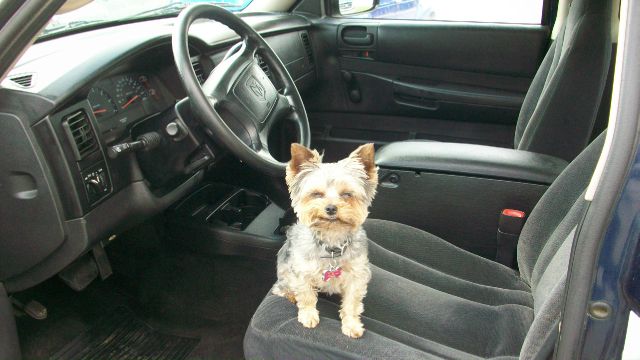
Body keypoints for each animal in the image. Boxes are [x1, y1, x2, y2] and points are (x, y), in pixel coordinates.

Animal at [272, 143, 378, 338]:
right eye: (316, 194)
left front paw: (351, 324)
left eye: (347, 194)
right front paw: (308, 315)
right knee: (282, 287)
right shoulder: (301, 270)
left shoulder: (357, 274)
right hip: (285, 270)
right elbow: (306, 295)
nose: (330, 208)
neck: (332, 241)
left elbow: (352, 302)